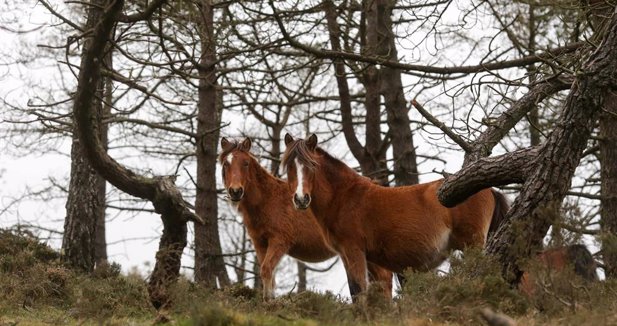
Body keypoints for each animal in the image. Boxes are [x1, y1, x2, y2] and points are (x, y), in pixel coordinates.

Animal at [218, 136, 390, 300]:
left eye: (246, 163)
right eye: (226, 164)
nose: (235, 191)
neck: (268, 199)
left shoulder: (279, 242)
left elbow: (266, 270)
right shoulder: (260, 244)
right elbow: (269, 276)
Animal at [282, 133, 508, 298]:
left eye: (311, 166)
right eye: (289, 167)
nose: (301, 199)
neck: (345, 196)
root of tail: (489, 189)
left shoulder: (353, 251)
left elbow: (359, 293)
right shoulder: (367, 260)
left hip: (473, 244)